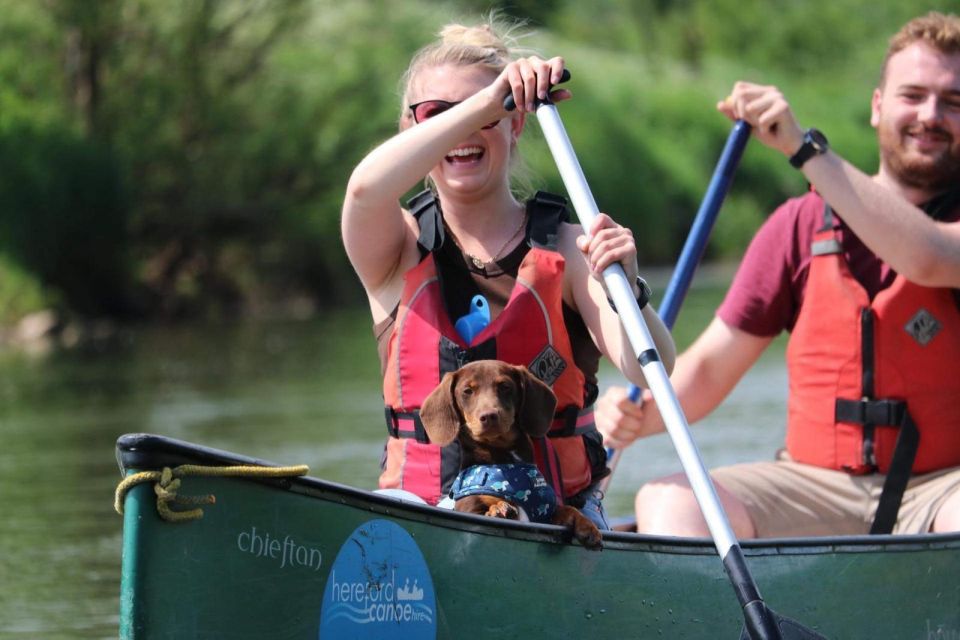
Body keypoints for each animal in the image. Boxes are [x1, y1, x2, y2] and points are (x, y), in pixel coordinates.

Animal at [420, 360, 600, 552]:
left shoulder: (543, 515)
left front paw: (588, 527)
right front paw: (498, 509)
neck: (505, 459)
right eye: (467, 391)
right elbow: (489, 506)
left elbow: (567, 509)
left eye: (505, 386)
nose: (489, 416)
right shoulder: (469, 509)